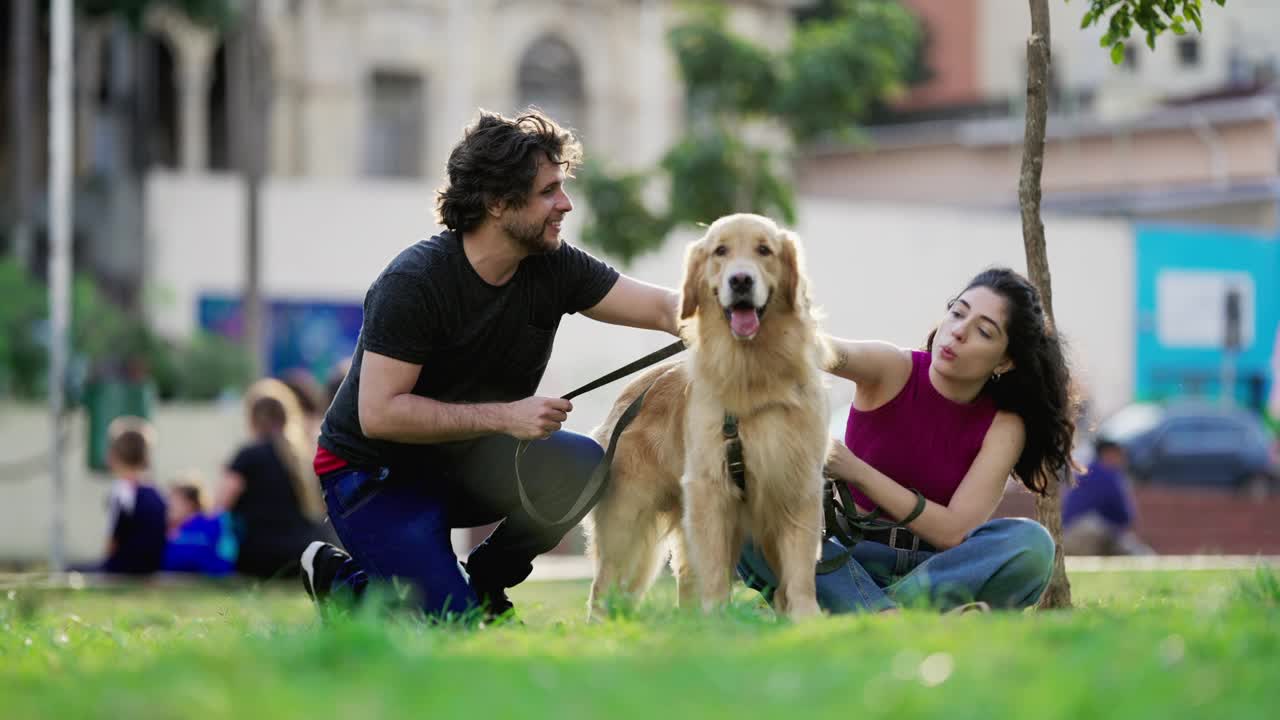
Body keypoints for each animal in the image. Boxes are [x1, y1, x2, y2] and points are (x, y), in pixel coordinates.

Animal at [586, 211, 829, 617]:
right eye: (721, 251)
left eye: (764, 250)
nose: (741, 280)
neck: (752, 373)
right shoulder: (710, 488)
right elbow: (714, 570)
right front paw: (719, 619)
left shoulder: (796, 483)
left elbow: (799, 573)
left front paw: (804, 620)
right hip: (627, 517)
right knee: (603, 585)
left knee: (684, 577)